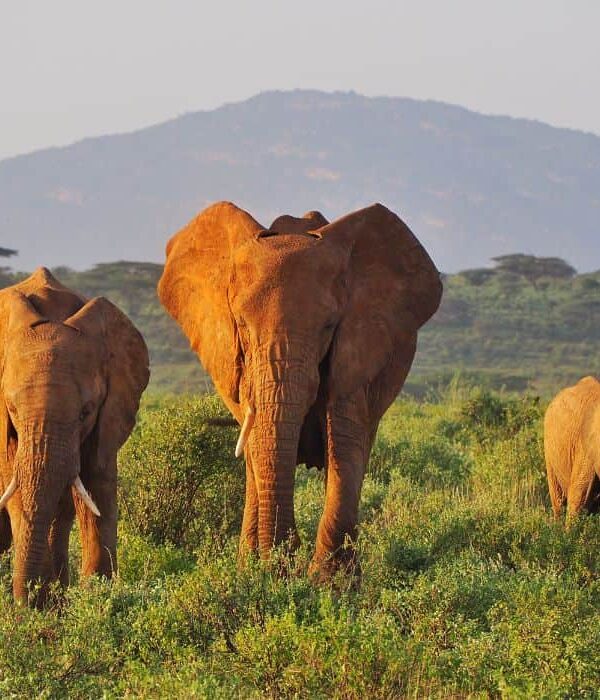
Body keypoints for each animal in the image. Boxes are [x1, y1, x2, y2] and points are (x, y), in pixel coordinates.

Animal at [0, 268, 149, 608]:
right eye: (12, 407)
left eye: (86, 411)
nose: (25, 604)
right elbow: (14, 489)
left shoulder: (109, 413)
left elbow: (97, 488)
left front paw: (96, 603)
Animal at [157, 198, 442, 580]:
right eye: (241, 324)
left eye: (328, 326)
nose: (284, 562)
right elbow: (259, 446)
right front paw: (267, 574)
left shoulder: (357, 349)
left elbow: (346, 443)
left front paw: (330, 584)